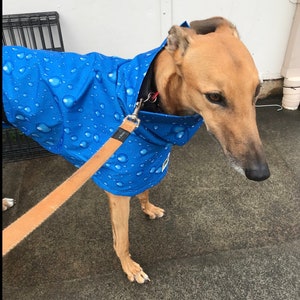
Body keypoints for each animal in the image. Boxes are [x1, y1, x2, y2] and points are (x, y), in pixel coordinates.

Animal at [2, 17, 270, 282]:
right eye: (214, 96)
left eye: (257, 90)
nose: (260, 173)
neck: (148, 98)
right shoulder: (119, 183)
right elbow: (122, 238)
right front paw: (129, 267)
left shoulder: (146, 161)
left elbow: (145, 189)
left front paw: (148, 208)